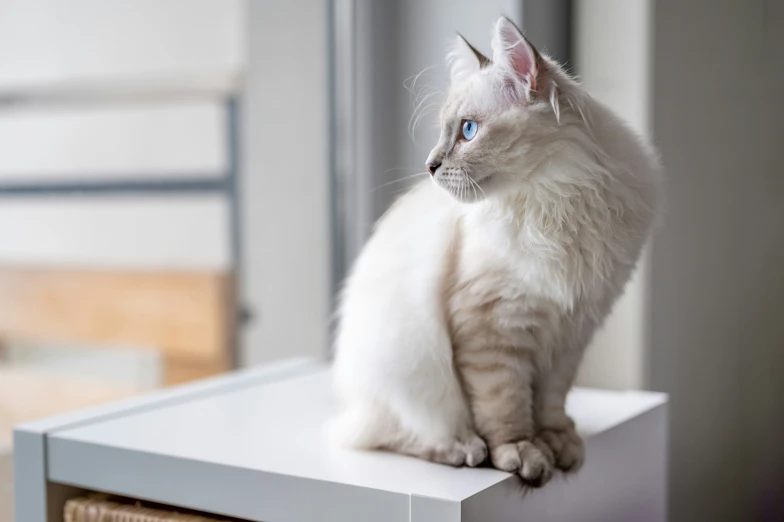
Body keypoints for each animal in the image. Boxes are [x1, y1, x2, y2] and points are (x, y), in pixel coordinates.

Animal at [330, 17, 660, 488]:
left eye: (468, 130)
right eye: (443, 133)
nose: (429, 165)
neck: (556, 203)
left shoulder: (573, 327)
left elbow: (551, 401)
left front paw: (559, 444)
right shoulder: (493, 325)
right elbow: (505, 406)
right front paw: (521, 453)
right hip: (405, 371)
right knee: (395, 434)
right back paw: (463, 449)